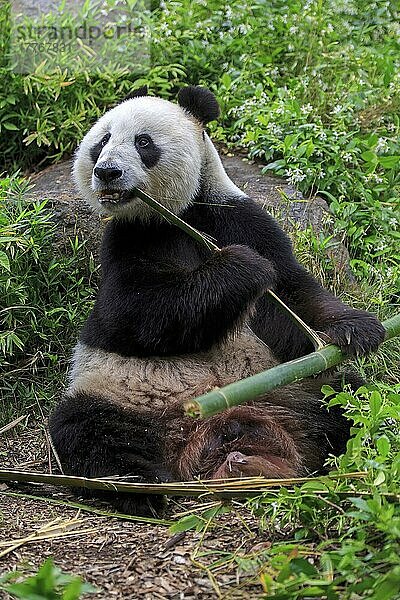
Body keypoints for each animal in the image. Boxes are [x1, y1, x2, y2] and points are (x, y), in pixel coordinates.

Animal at [49, 84, 384, 516]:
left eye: (143, 142)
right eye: (101, 142)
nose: (107, 171)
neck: (178, 215)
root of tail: (210, 427)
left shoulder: (235, 217)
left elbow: (293, 293)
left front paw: (356, 329)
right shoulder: (130, 238)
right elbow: (127, 314)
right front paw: (242, 267)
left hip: (299, 386)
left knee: (350, 404)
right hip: (119, 395)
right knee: (86, 431)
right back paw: (141, 489)